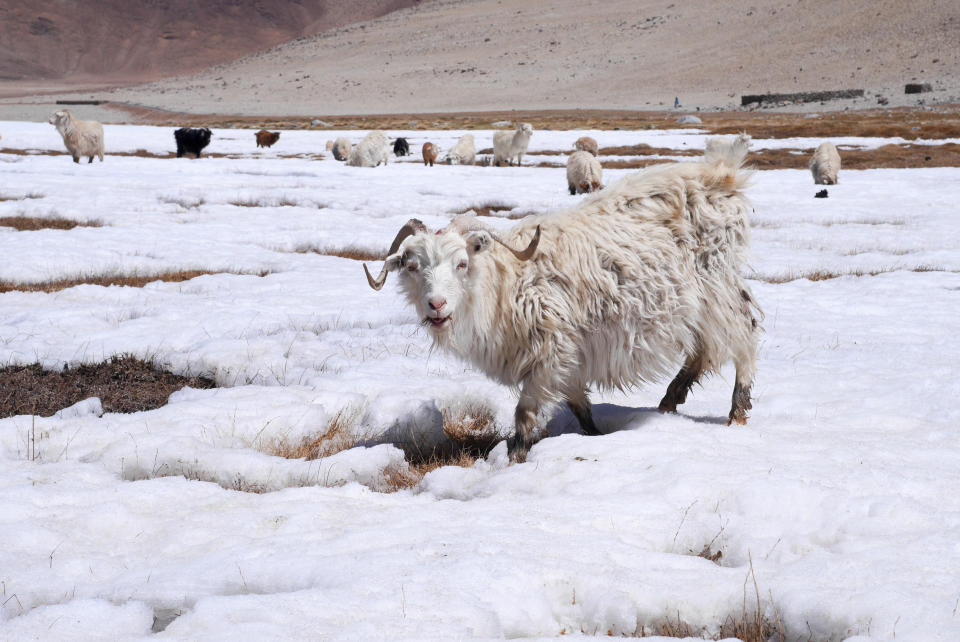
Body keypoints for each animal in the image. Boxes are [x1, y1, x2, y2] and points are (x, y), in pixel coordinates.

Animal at [368, 136, 764, 456]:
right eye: (411, 266)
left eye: (462, 263)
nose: (436, 305)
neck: (507, 282)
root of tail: (724, 176)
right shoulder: (568, 360)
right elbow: (578, 406)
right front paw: (593, 435)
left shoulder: (550, 352)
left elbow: (526, 414)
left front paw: (517, 457)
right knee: (704, 348)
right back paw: (670, 400)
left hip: (715, 287)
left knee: (743, 333)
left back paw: (737, 412)